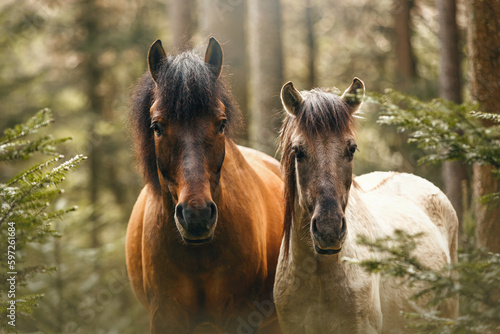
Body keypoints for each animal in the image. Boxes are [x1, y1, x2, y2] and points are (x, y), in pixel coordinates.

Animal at [127, 37, 284, 332]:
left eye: (221, 123)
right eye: (156, 126)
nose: (196, 216)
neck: (198, 259)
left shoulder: (238, 315)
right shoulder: (165, 316)